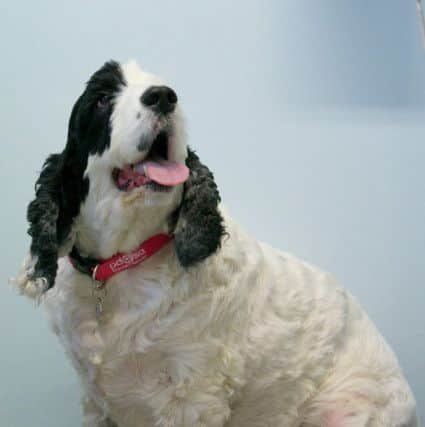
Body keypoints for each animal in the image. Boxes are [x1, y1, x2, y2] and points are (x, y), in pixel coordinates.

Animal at [13, 60, 418, 427]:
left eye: (164, 87)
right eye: (101, 99)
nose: (164, 97)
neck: (118, 268)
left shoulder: (192, 394)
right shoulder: (97, 399)